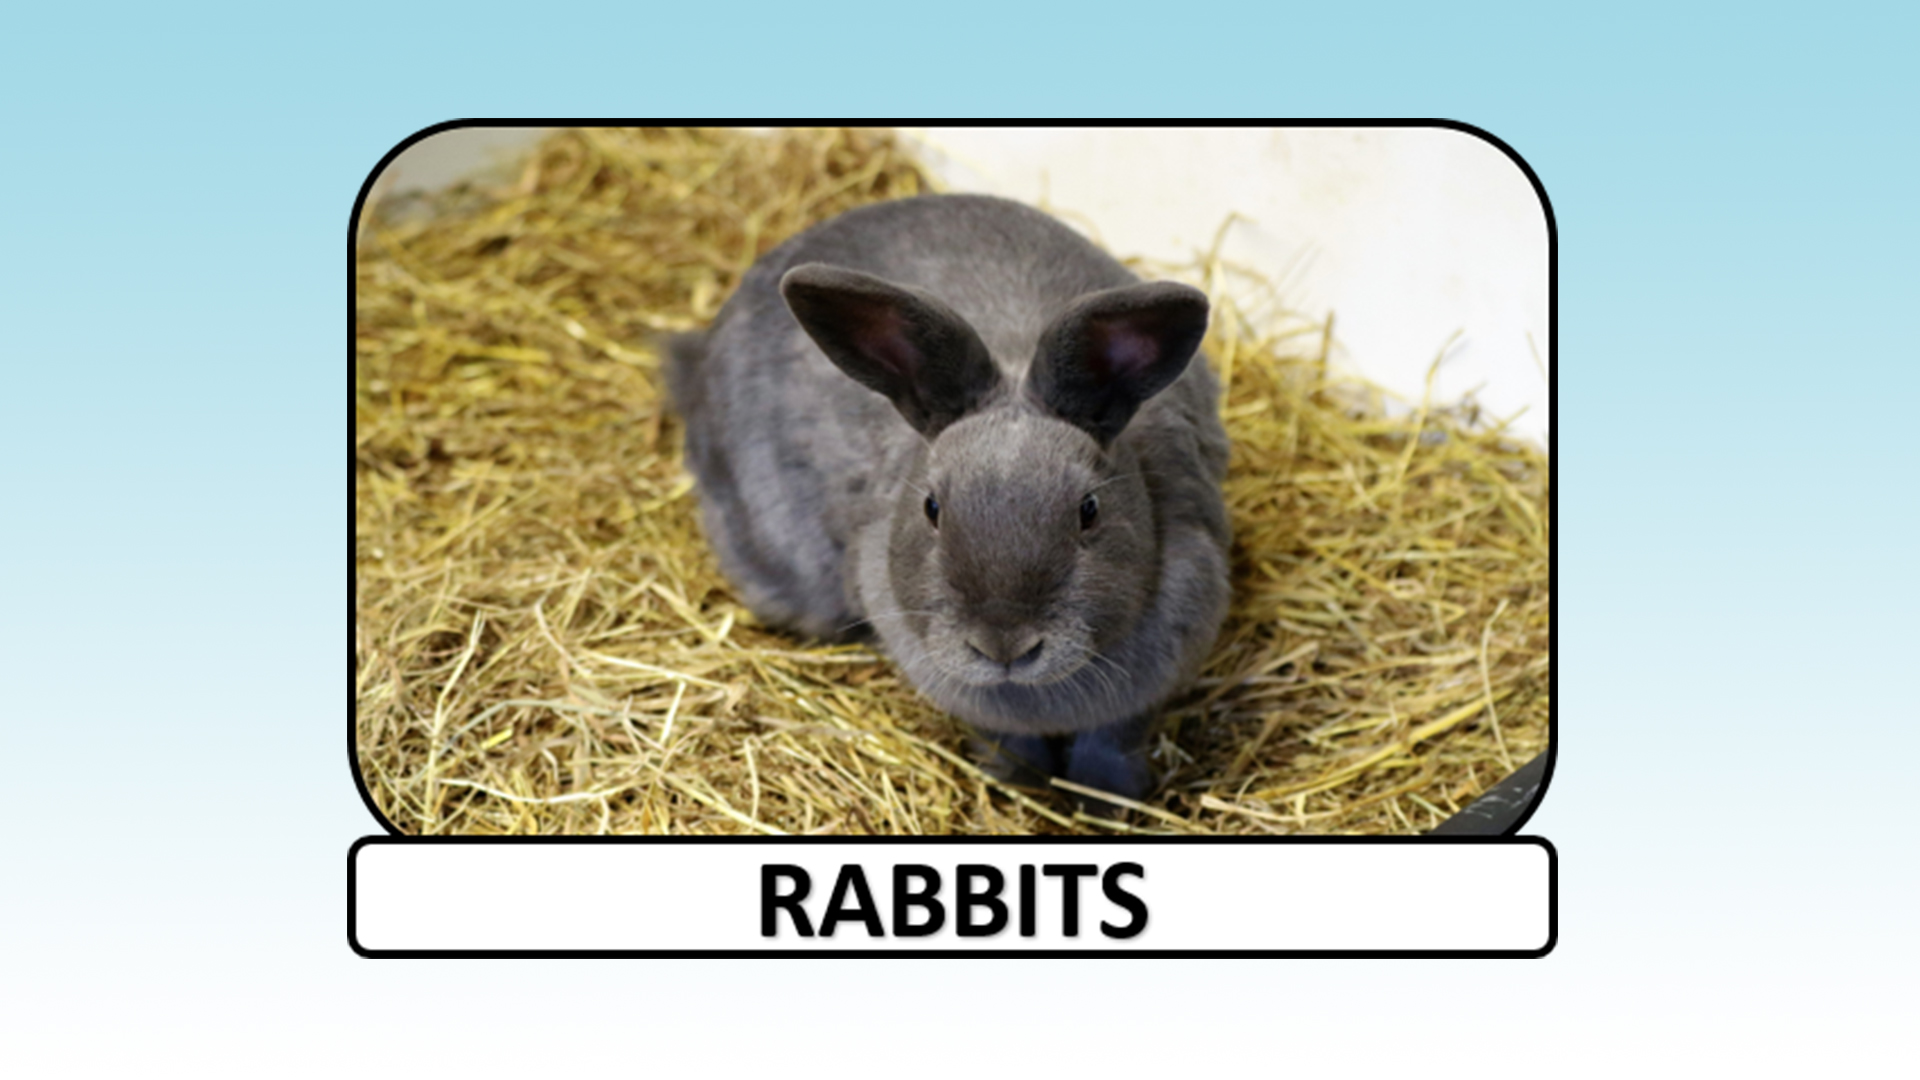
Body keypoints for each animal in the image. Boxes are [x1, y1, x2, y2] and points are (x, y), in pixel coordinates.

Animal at [666, 194, 1230, 811]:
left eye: (1089, 510)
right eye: (931, 509)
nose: (1004, 645)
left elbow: (1111, 741)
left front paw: (1110, 800)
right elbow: (1005, 737)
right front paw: (1015, 783)